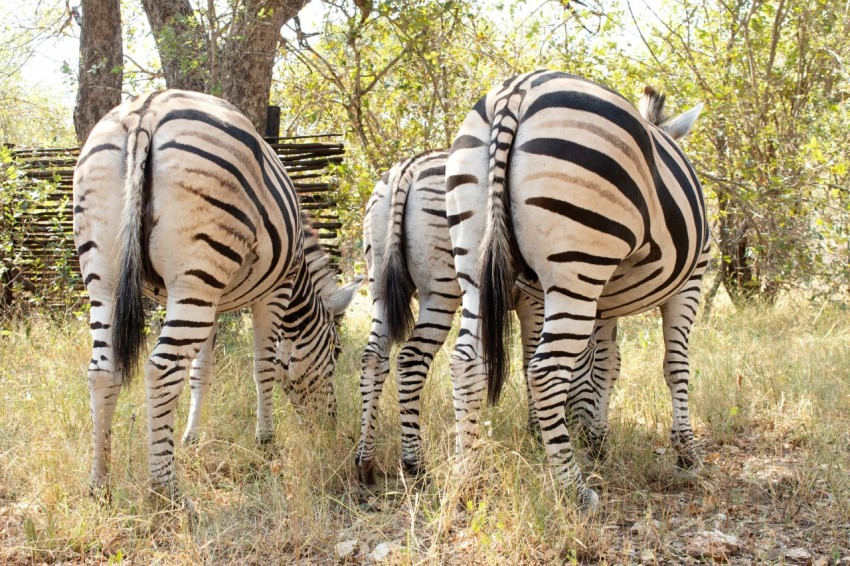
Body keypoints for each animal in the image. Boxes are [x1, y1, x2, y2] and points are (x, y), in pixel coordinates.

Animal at [73, 91, 362, 500]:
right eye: (336, 352)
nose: (329, 428)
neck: (300, 279)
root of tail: (146, 111)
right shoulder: (275, 291)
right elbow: (264, 367)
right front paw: (266, 441)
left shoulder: (213, 300)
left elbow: (200, 373)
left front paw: (192, 438)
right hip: (194, 274)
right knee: (160, 369)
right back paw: (165, 490)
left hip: (112, 277)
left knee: (102, 371)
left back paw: (100, 484)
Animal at [352, 153, 544, 486]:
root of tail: (409, 168)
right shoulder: (531, 301)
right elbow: (530, 360)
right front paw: (537, 432)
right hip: (440, 289)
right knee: (411, 359)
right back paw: (415, 463)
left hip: (378, 286)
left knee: (373, 358)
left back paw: (366, 461)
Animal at [444, 70, 708, 510]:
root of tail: (516, 92)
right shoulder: (690, 283)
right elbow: (675, 366)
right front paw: (686, 452)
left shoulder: (606, 302)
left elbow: (606, 365)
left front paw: (596, 438)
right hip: (578, 263)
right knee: (546, 371)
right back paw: (573, 489)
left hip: (474, 262)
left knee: (467, 361)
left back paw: (468, 478)